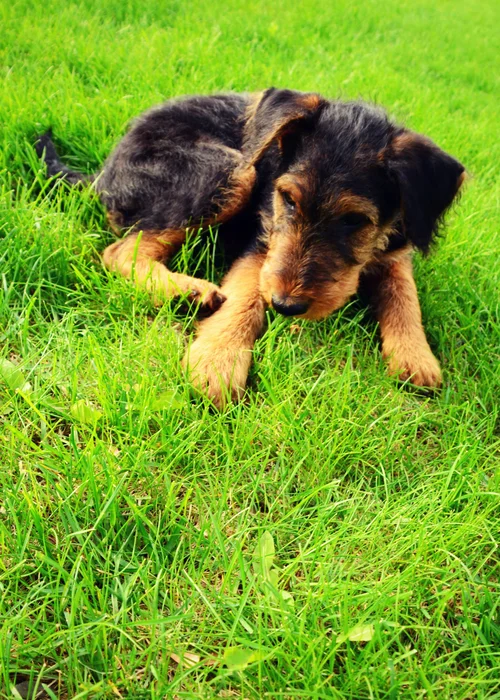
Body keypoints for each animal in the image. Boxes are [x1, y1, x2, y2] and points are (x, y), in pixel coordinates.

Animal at [36, 88, 465, 408]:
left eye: (355, 220)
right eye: (287, 198)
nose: (286, 305)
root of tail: (104, 171)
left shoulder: (397, 250)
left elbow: (404, 295)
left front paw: (416, 356)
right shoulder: (262, 242)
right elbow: (243, 295)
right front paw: (216, 363)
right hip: (232, 170)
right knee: (122, 251)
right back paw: (186, 291)